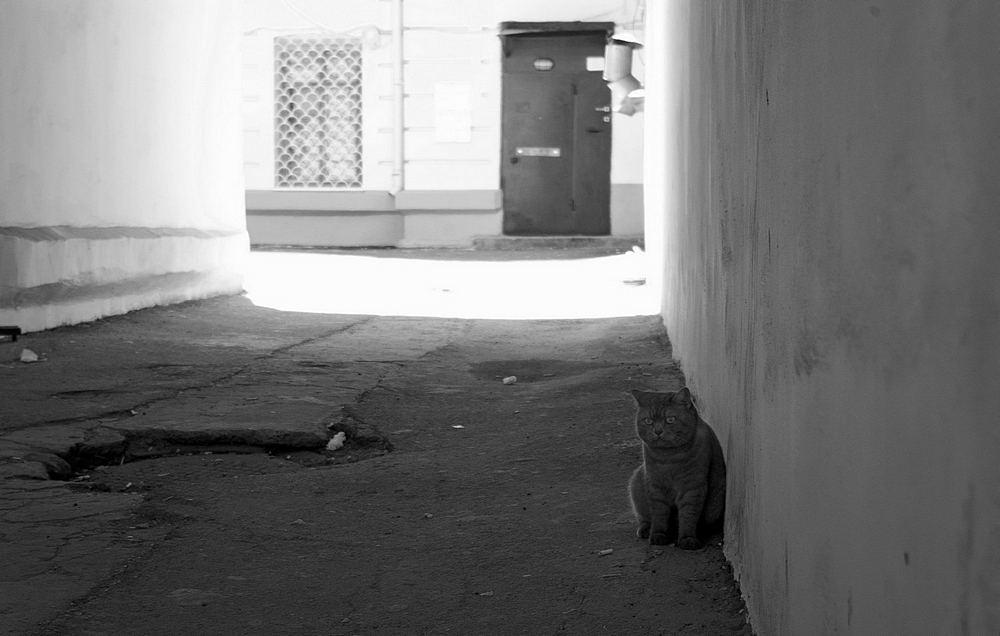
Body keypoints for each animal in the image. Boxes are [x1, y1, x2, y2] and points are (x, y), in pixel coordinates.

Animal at [624, 386, 728, 548]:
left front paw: (687, 538)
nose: (658, 431)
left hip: (715, 505)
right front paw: (658, 535)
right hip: (636, 482)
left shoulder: (692, 488)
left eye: (670, 419)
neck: (669, 458)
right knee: (644, 517)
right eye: (648, 421)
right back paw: (646, 529)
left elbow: (688, 515)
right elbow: (658, 514)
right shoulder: (655, 486)